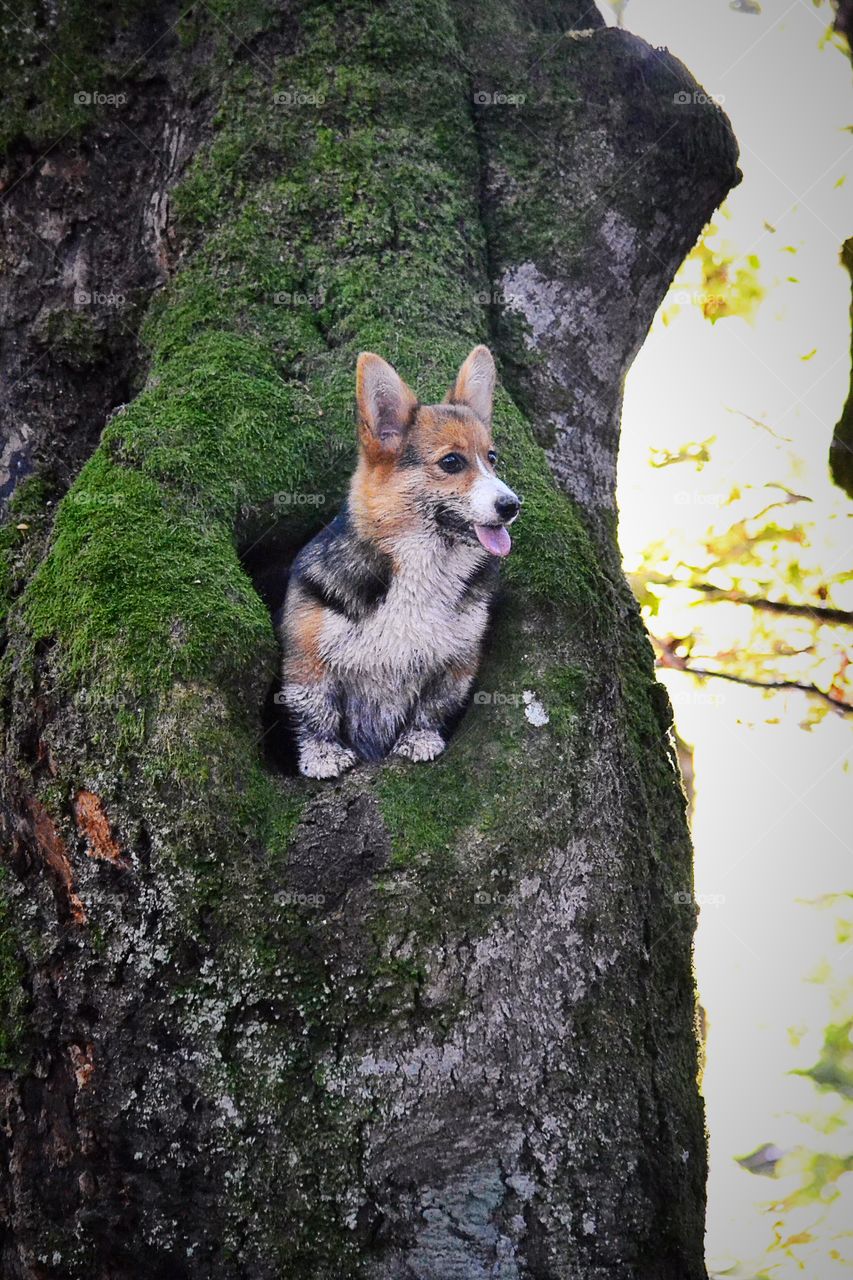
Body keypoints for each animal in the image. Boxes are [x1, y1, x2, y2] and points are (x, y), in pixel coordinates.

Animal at [279, 343, 517, 778]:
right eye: (451, 462)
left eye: (491, 458)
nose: (512, 505)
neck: (424, 564)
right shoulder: (307, 659)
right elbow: (316, 710)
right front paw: (323, 756)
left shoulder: (456, 663)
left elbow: (433, 706)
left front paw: (419, 740)